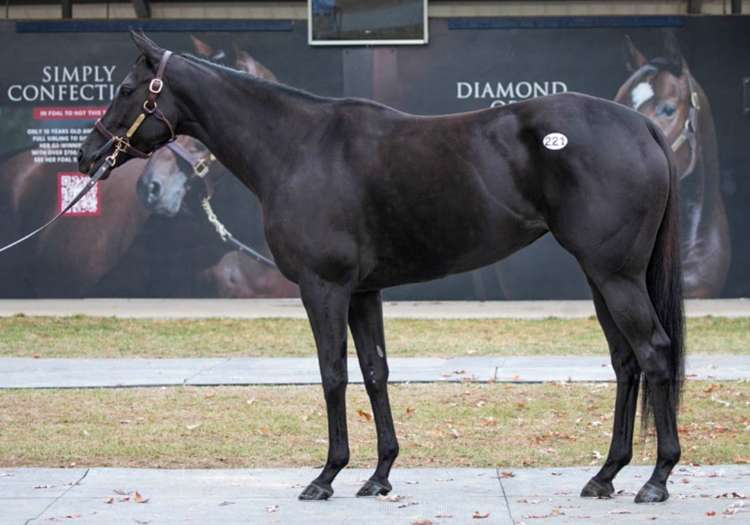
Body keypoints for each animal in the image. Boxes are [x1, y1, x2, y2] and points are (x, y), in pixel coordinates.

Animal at [79, 31, 686, 504]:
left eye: (127, 90)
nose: (89, 157)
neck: (299, 147)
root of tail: (640, 126)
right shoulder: (363, 292)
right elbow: (375, 372)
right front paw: (379, 475)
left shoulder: (323, 288)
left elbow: (332, 374)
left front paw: (326, 476)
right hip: (600, 277)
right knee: (626, 362)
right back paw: (605, 475)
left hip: (615, 276)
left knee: (654, 352)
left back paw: (656, 479)